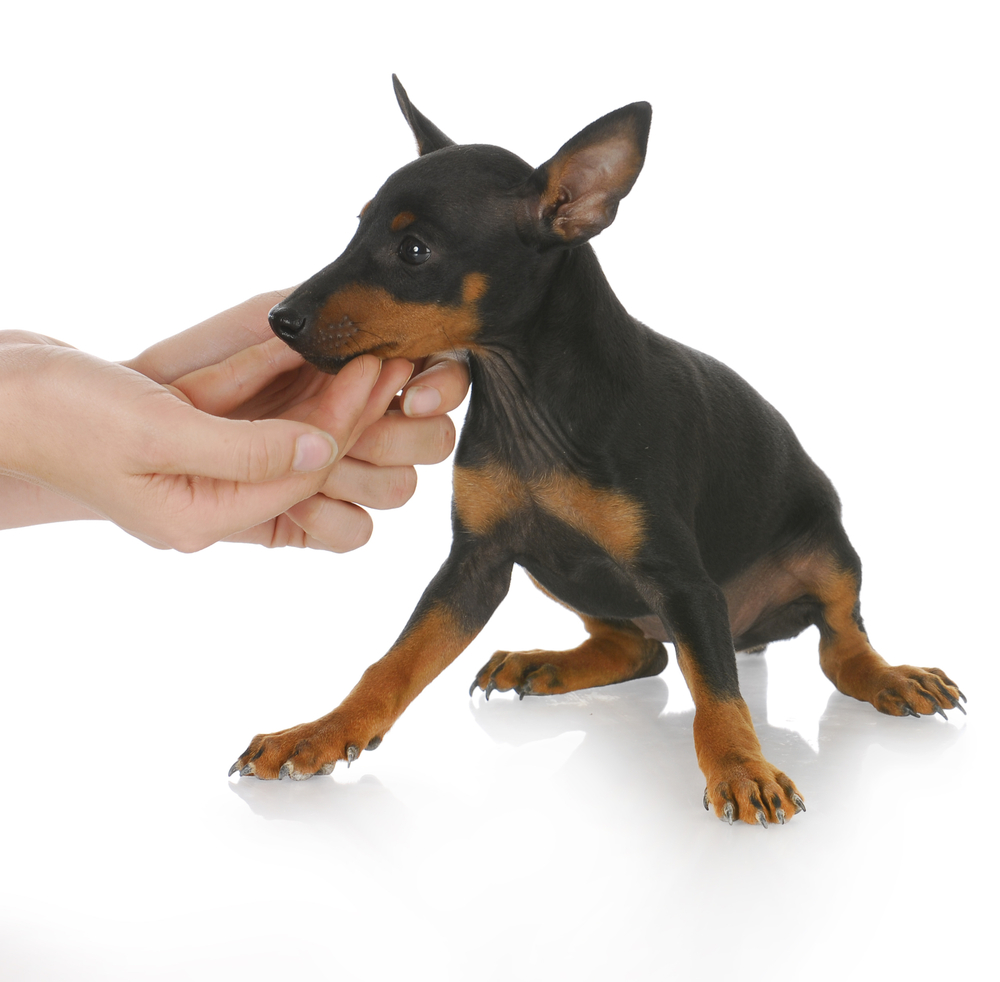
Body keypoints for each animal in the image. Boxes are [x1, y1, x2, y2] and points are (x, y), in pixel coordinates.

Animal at [230, 79, 964, 832]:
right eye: (357, 228)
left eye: (412, 249)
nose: (281, 320)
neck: (529, 398)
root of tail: (753, 629)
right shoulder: (478, 563)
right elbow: (396, 661)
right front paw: (321, 732)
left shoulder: (684, 583)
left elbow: (717, 694)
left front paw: (742, 769)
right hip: (560, 570)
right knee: (641, 649)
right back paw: (543, 664)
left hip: (824, 546)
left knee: (837, 645)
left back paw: (892, 676)